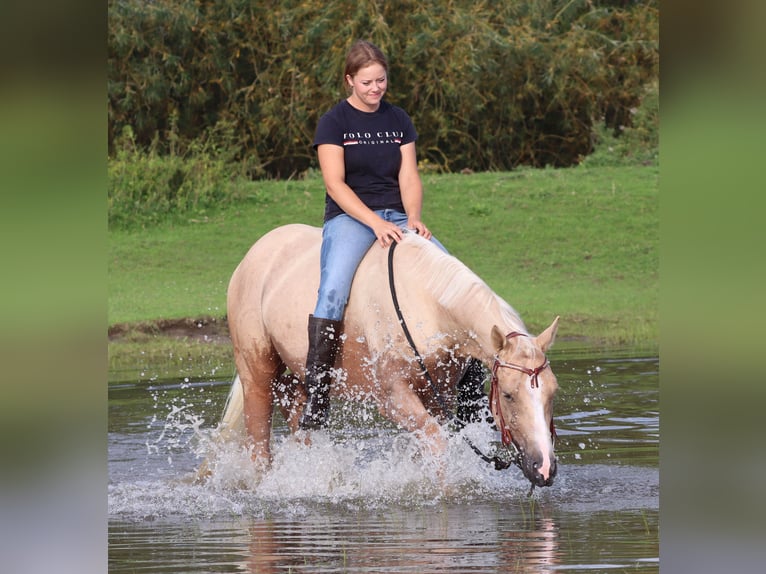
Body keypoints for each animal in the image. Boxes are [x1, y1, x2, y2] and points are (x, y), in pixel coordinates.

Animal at [219, 225, 560, 490]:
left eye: (553, 393)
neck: (426, 305)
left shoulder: (435, 395)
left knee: (296, 405)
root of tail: (256, 252)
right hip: (257, 372)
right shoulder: (394, 397)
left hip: (300, 379)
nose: (543, 468)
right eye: (508, 395)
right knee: (259, 440)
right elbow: (436, 443)